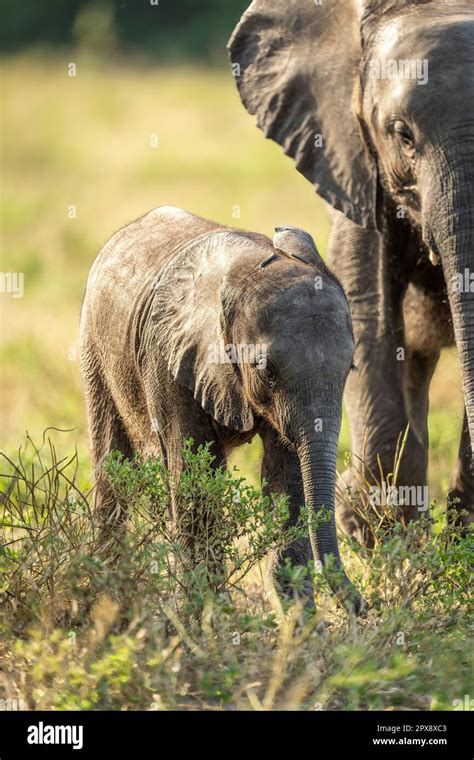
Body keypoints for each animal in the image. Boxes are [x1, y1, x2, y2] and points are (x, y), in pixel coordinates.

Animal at [81, 205, 362, 616]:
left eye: (350, 369)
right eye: (267, 371)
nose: (363, 607)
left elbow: (288, 480)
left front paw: (304, 627)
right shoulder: (168, 356)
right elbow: (194, 481)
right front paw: (206, 621)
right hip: (94, 347)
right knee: (112, 464)